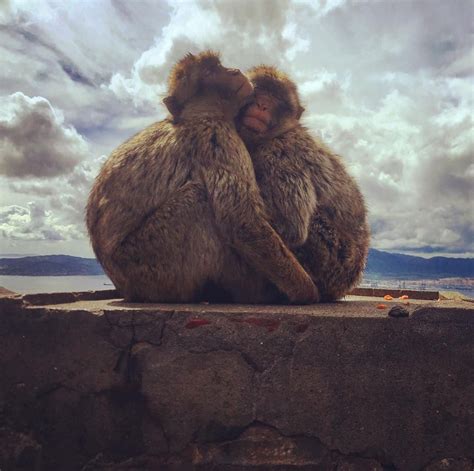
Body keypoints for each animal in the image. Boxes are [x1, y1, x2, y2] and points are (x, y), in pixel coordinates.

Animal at [87, 50, 320, 302]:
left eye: (219, 65)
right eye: (209, 72)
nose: (234, 71)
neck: (200, 112)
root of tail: (126, 289)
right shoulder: (219, 136)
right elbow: (242, 220)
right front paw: (306, 291)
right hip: (149, 264)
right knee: (198, 199)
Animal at [237, 65, 370, 302]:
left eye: (276, 100)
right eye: (258, 92)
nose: (262, 104)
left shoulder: (280, 156)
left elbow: (291, 227)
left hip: (334, 259)